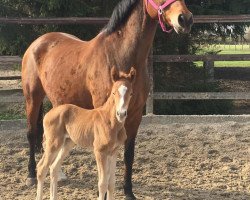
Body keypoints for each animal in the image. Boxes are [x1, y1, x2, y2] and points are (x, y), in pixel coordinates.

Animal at [35, 67, 135, 200]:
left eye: (131, 93)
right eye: (113, 92)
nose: (121, 114)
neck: (111, 122)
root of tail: (48, 114)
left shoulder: (114, 152)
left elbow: (111, 183)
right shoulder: (100, 152)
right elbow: (102, 184)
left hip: (67, 143)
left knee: (53, 168)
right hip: (53, 144)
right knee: (42, 168)